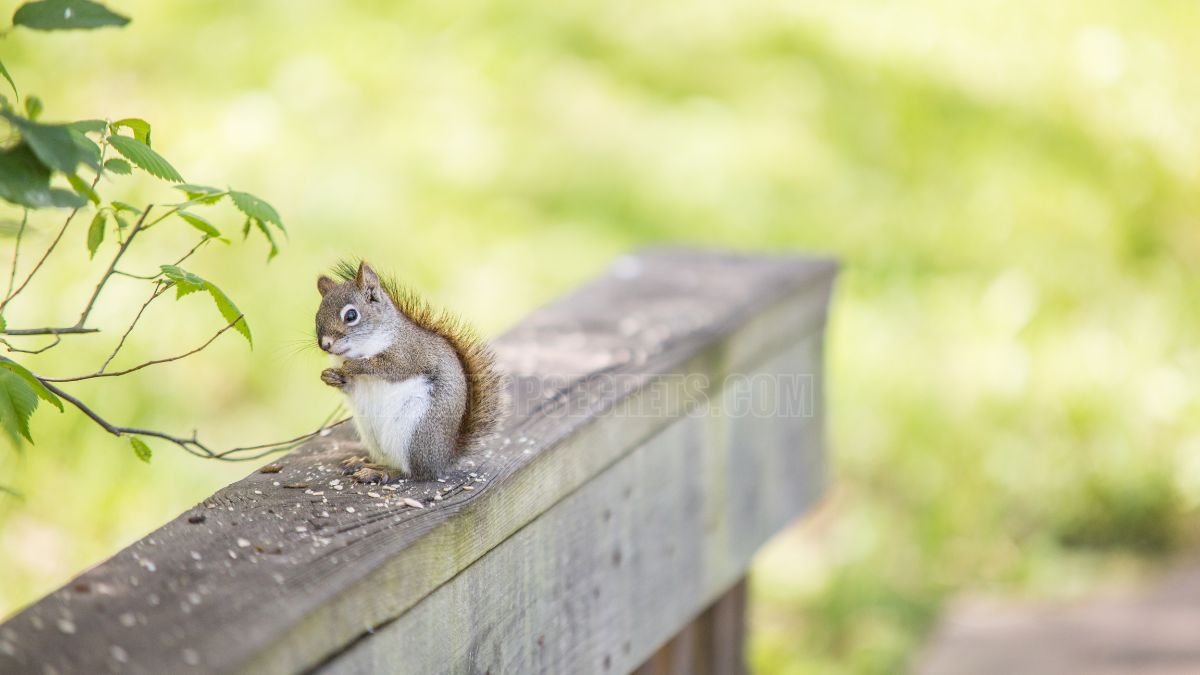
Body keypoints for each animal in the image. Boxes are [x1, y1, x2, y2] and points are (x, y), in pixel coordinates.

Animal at [314, 260, 501, 480]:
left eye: (351, 315)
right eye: (317, 316)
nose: (325, 345)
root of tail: (443, 459)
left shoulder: (409, 353)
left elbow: (392, 367)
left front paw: (355, 366)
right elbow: (349, 385)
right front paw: (330, 376)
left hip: (414, 431)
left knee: (411, 472)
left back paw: (380, 473)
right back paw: (362, 463)